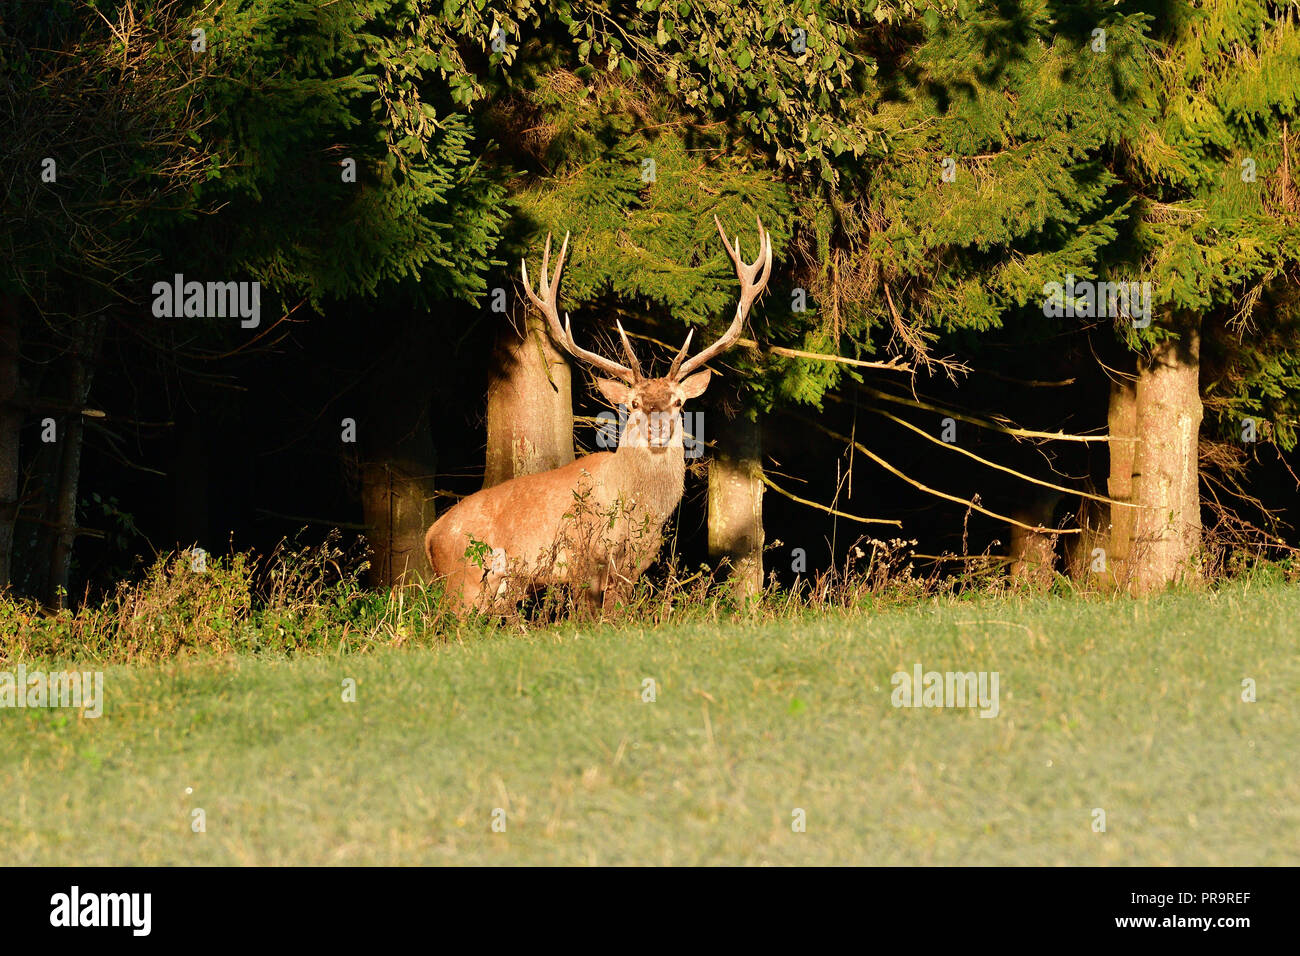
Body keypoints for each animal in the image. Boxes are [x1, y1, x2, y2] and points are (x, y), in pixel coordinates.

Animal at [425, 216, 773, 613]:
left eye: (678, 402)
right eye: (633, 403)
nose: (657, 427)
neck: (637, 514)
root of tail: (431, 536)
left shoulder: (635, 566)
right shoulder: (581, 556)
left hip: (500, 589)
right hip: (463, 581)